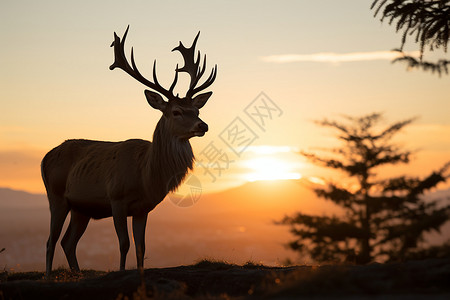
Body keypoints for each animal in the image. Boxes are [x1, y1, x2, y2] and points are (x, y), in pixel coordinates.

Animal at [41, 27, 217, 276]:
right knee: (51, 241)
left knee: (68, 242)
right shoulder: (117, 198)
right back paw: (48, 276)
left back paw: (78, 274)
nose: (203, 125)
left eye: (197, 110)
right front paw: (122, 271)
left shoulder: (143, 208)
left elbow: (141, 246)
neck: (145, 175)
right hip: (55, 196)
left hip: (81, 208)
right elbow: (124, 243)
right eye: (176, 111)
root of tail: (45, 157)